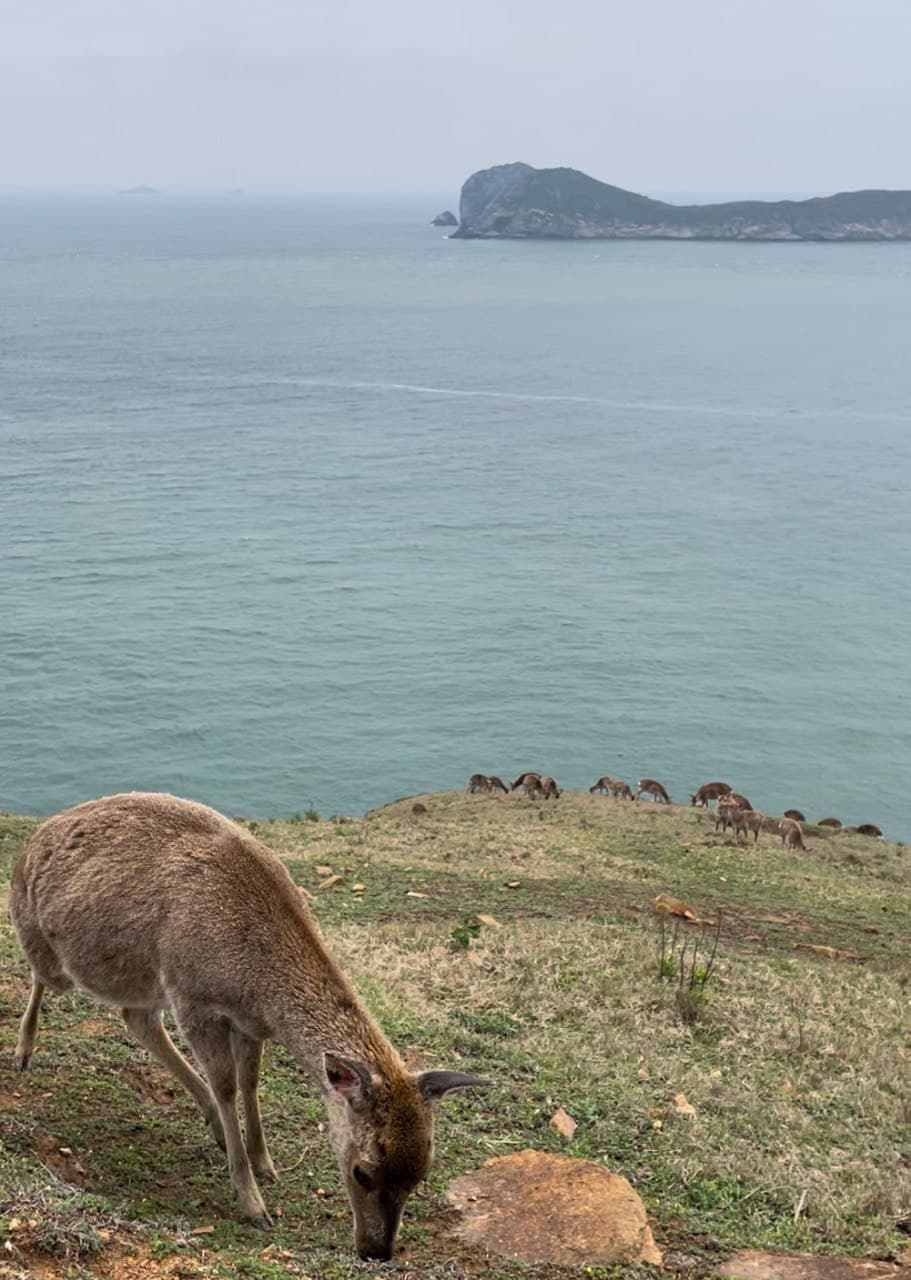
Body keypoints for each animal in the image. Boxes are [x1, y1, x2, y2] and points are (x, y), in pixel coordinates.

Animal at [10, 788, 488, 1259]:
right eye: (362, 1172)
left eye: (422, 1173)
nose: (377, 1251)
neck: (254, 979)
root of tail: (32, 842)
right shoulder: (194, 1001)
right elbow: (226, 1086)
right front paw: (252, 1201)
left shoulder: (246, 1021)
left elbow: (250, 1081)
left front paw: (265, 1162)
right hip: (49, 946)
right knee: (41, 976)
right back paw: (22, 1052)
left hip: (141, 979)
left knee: (136, 1017)